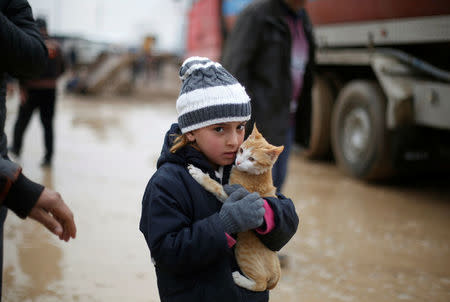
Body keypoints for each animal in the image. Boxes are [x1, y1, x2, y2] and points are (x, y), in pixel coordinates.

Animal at [188, 124, 284, 292]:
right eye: (241, 150)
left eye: (252, 159)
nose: (238, 162)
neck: (257, 174)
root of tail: (276, 275)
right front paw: (219, 169)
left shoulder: (231, 195)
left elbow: (215, 185)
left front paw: (200, 175)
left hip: (244, 254)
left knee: (260, 285)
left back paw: (241, 280)